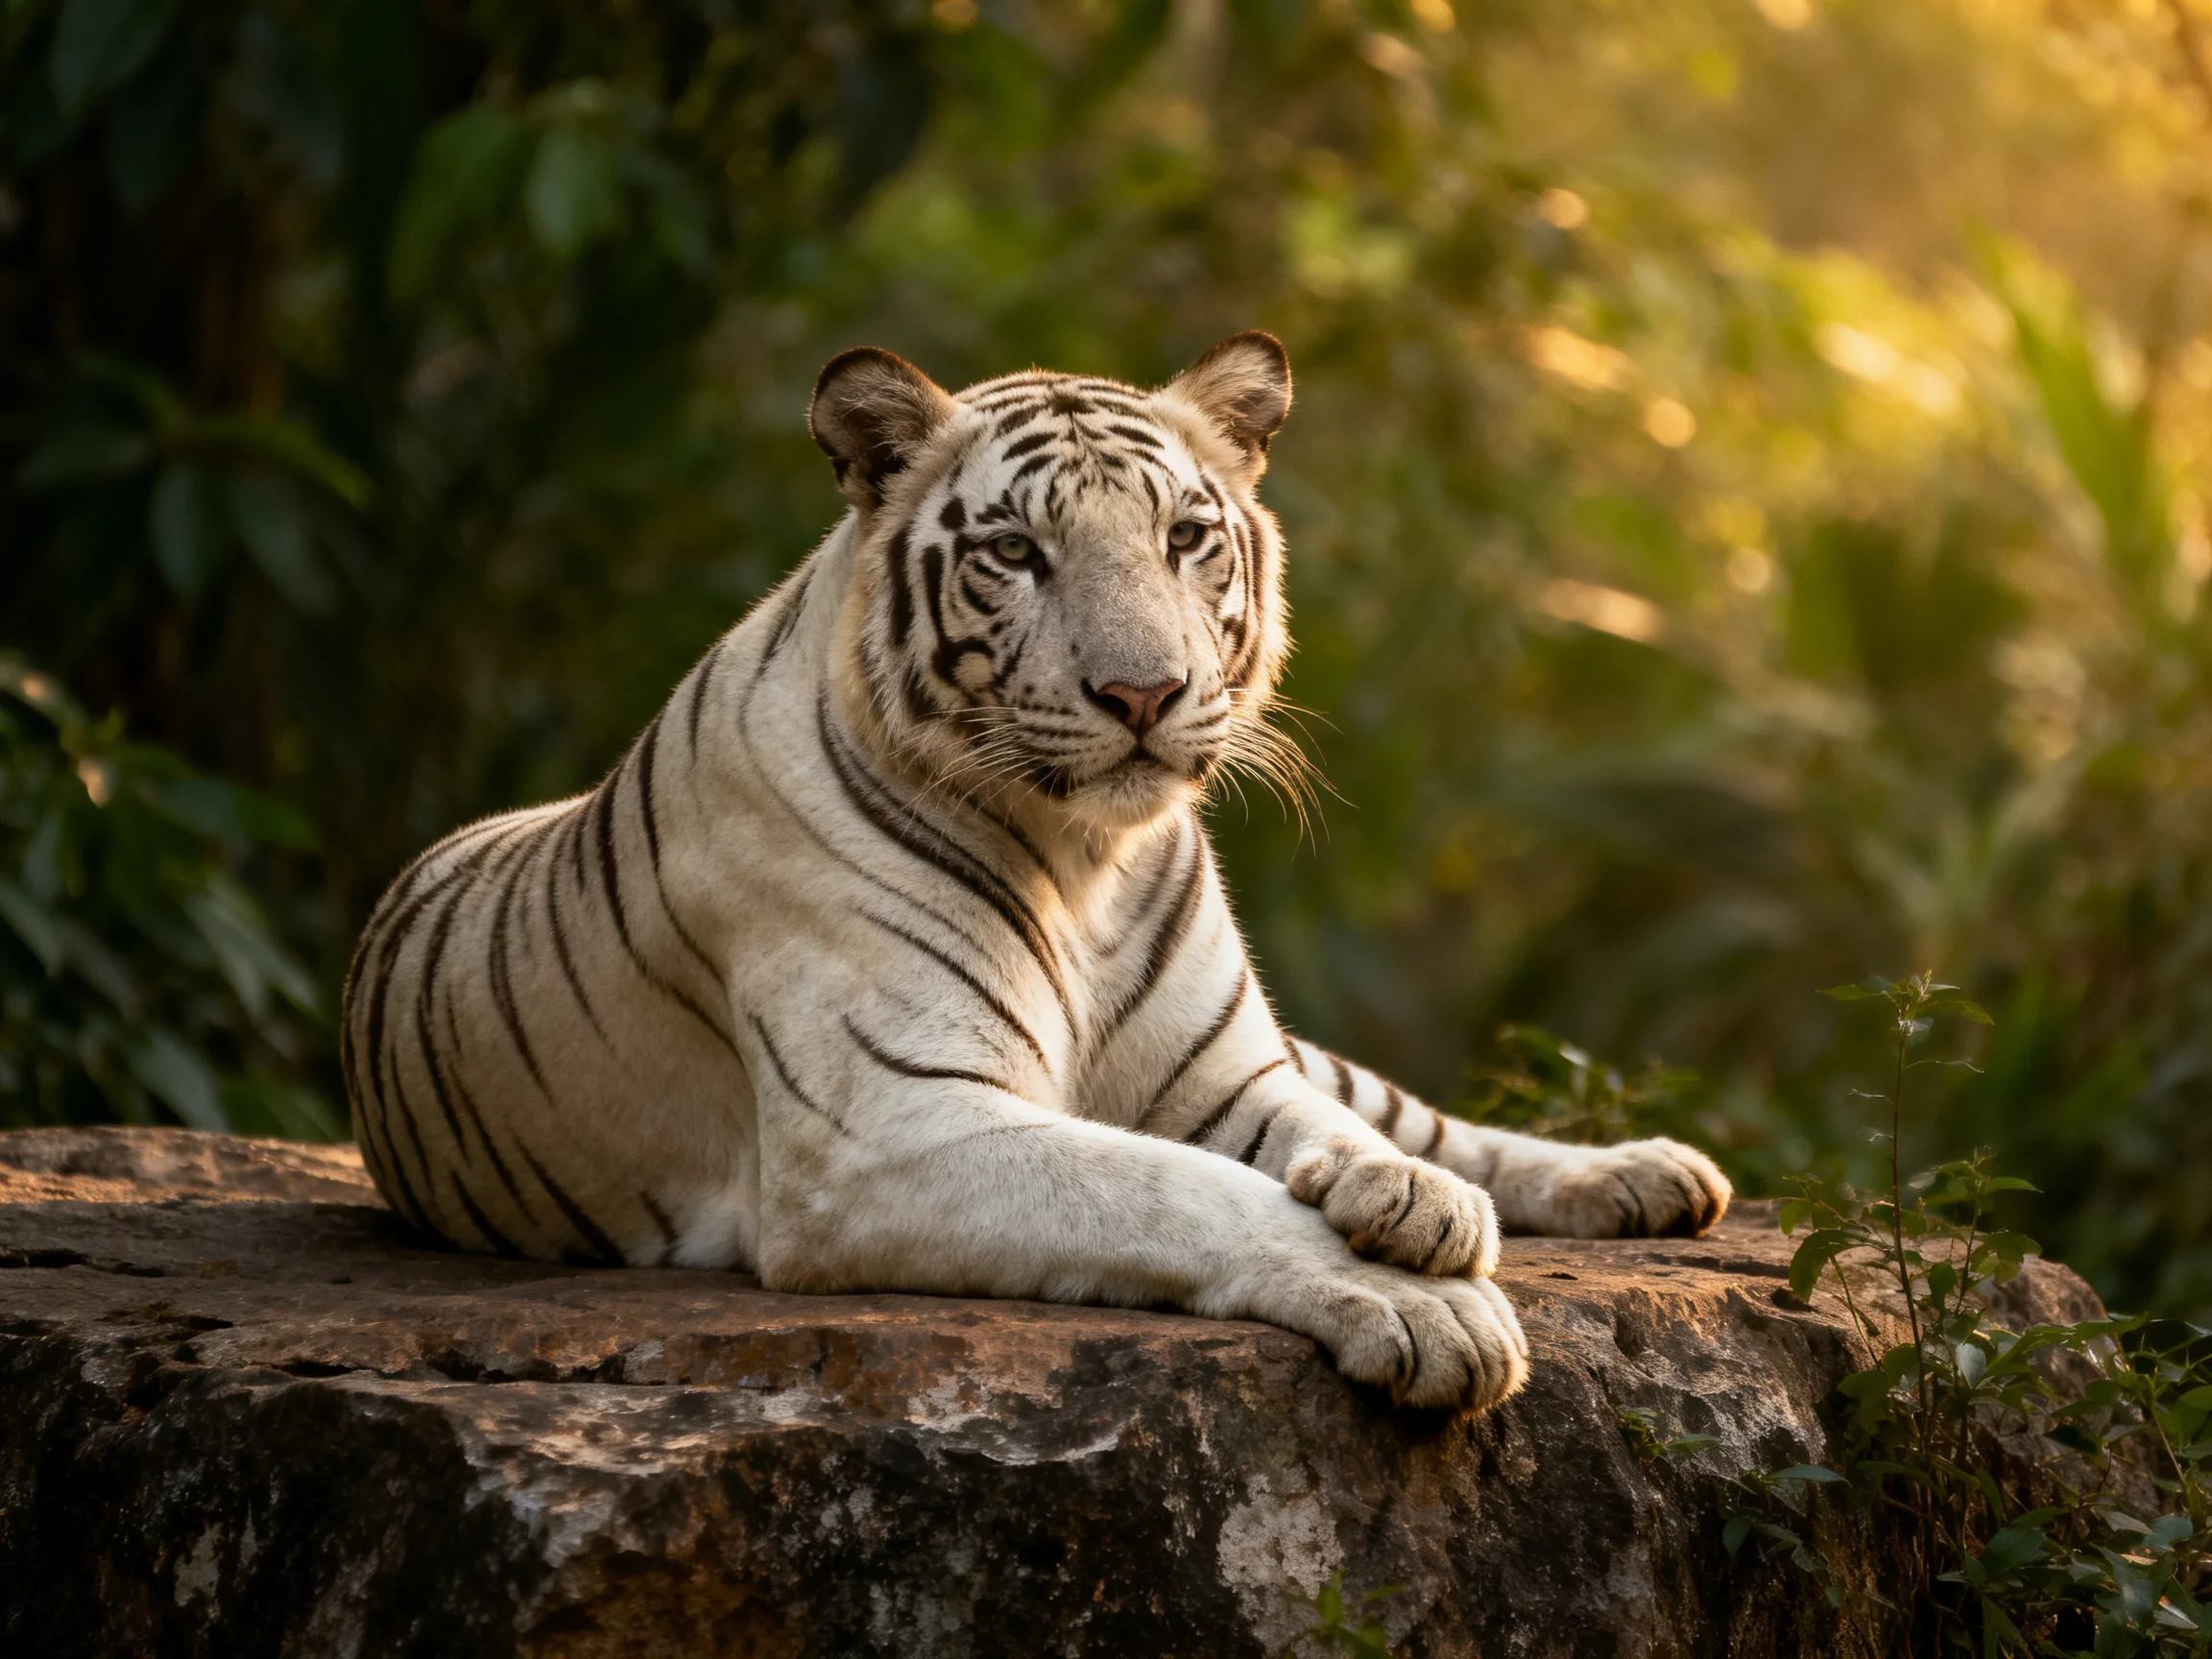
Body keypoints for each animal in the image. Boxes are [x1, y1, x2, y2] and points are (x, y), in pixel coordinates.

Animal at [339, 332, 1731, 1413]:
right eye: (1015, 552)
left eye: (1186, 537)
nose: (1143, 693)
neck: (1088, 864)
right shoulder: (891, 1130)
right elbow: (1180, 1191)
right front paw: (1421, 1301)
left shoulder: (1228, 1074)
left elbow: (1327, 1136)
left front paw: (1411, 1204)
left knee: (1421, 1113)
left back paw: (1646, 1177)